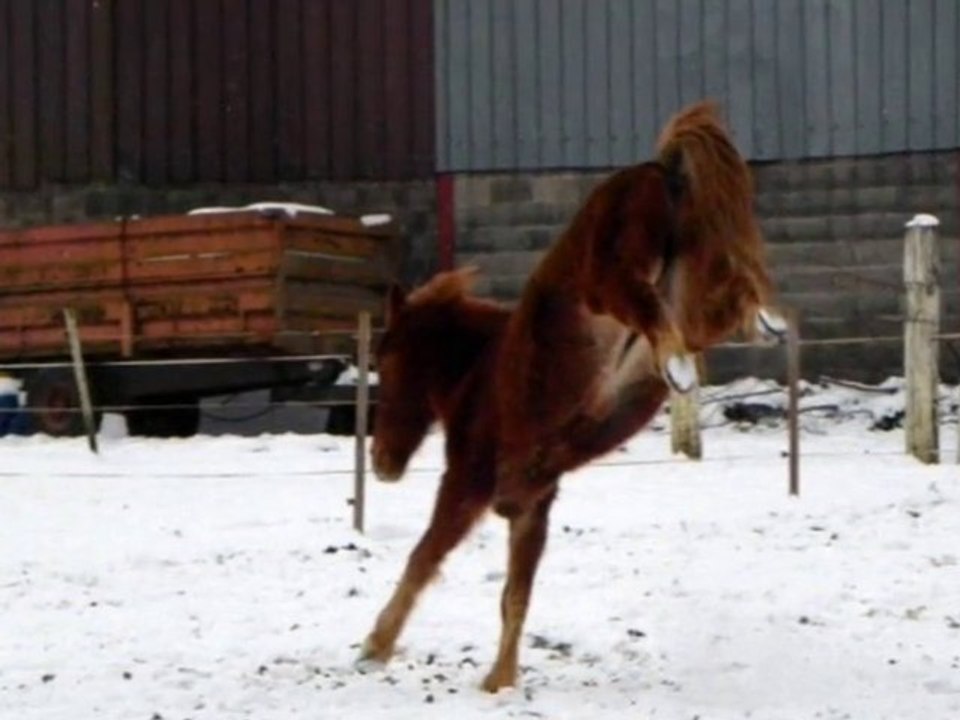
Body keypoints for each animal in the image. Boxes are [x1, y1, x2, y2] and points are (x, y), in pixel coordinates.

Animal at [359, 100, 783, 692]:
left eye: (383, 362)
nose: (381, 463)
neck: (476, 373)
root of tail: (658, 171)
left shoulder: (466, 484)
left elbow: (424, 559)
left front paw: (375, 647)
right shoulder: (530, 504)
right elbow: (514, 596)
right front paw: (500, 681)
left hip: (611, 284)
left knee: (649, 307)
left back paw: (679, 365)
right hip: (696, 295)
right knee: (731, 297)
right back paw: (762, 324)